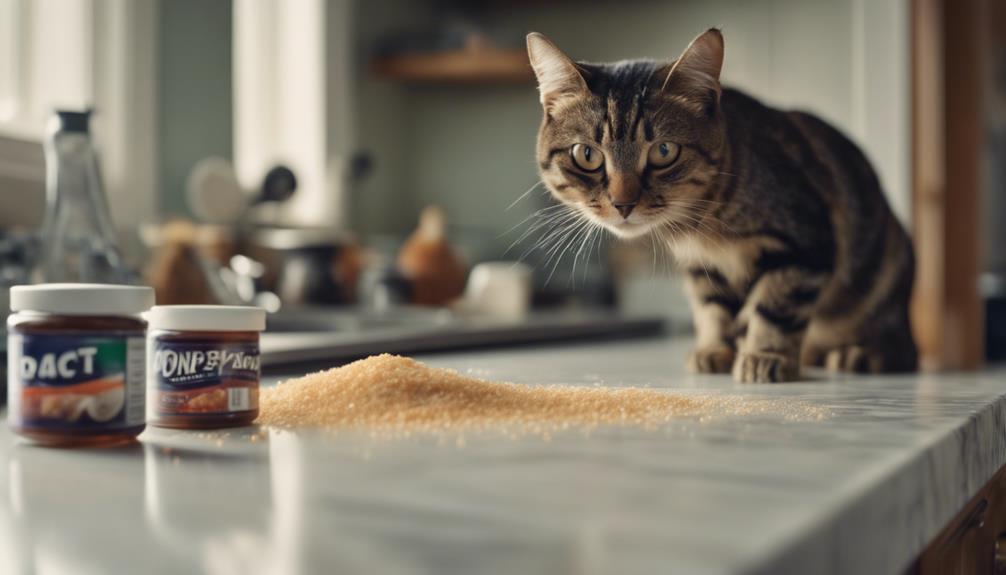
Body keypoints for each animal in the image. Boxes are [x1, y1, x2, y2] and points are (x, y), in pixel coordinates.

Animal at [531, 30, 917, 381]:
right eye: (586, 155)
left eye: (664, 151)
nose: (622, 202)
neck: (703, 226)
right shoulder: (701, 265)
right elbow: (711, 308)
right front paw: (715, 349)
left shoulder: (805, 241)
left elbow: (775, 305)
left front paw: (765, 354)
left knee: (899, 347)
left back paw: (859, 354)